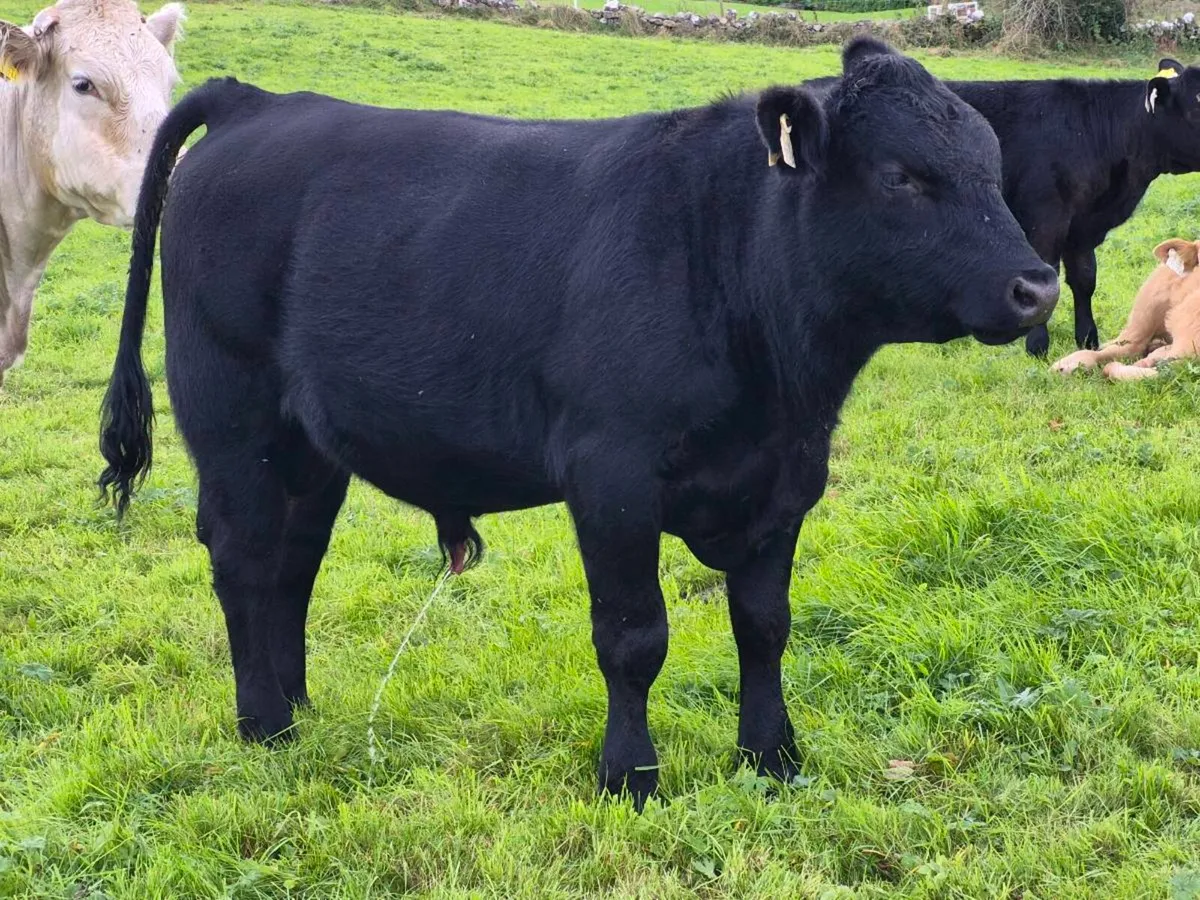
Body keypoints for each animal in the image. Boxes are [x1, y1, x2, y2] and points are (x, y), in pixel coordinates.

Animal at [98, 37, 1057, 808]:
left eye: (991, 165)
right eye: (903, 177)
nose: (1037, 286)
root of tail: (257, 102)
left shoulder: (787, 482)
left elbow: (764, 626)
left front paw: (773, 758)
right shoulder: (612, 480)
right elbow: (634, 639)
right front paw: (629, 776)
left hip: (307, 448)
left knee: (292, 566)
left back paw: (297, 706)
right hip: (233, 422)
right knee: (242, 559)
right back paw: (263, 723)